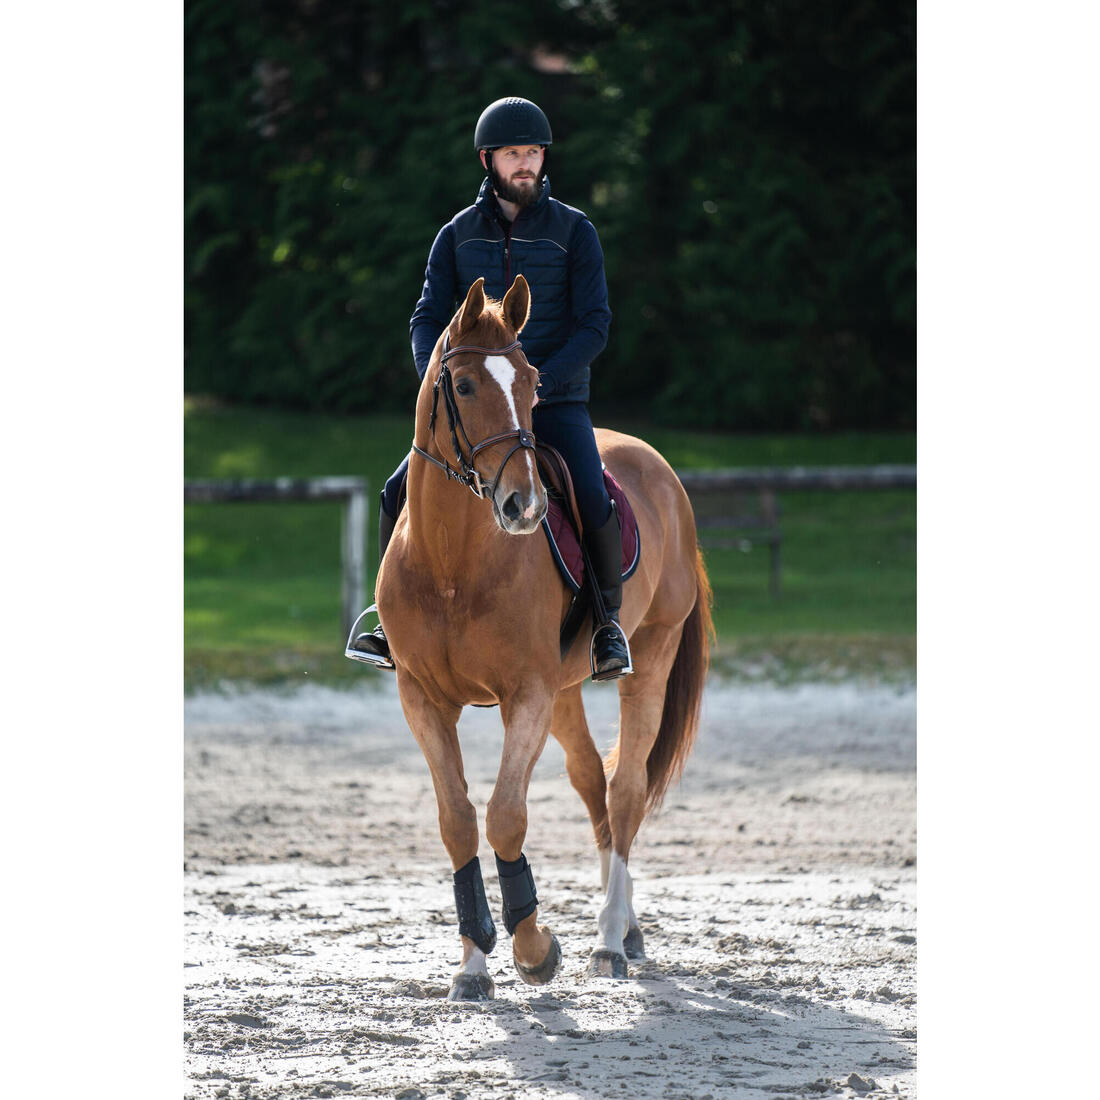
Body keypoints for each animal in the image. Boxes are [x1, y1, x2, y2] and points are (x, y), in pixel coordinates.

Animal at [374, 273, 713, 1000]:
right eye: (464, 385)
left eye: (532, 383)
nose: (523, 507)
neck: (453, 561)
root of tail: (662, 472)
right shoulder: (423, 698)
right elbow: (457, 819)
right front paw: (472, 963)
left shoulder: (524, 695)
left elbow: (505, 814)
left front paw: (533, 948)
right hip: (564, 694)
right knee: (594, 786)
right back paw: (627, 928)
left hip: (650, 656)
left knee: (626, 789)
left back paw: (609, 940)